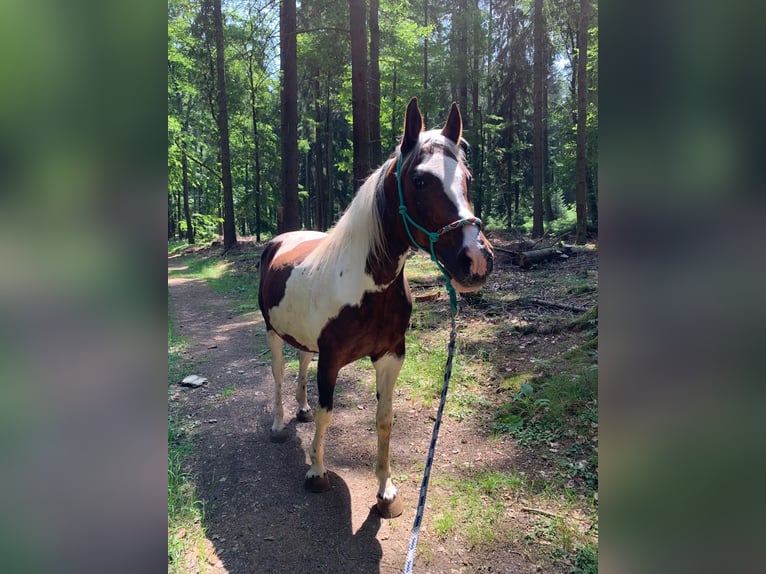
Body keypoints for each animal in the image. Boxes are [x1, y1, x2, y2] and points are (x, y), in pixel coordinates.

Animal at [260, 97, 498, 520]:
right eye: (419, 180)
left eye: (467, 177)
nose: (476, 259)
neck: (366, 286)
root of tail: (281, 240)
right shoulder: (331, 360)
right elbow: (327, 411)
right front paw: (316, 471)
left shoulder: (390, 356)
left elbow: (384, 419)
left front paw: (386, 491)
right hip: (272, 333)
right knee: (277, 374)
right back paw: (278, 424)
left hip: (304, 341)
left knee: (300, 363)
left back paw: (300, 409)